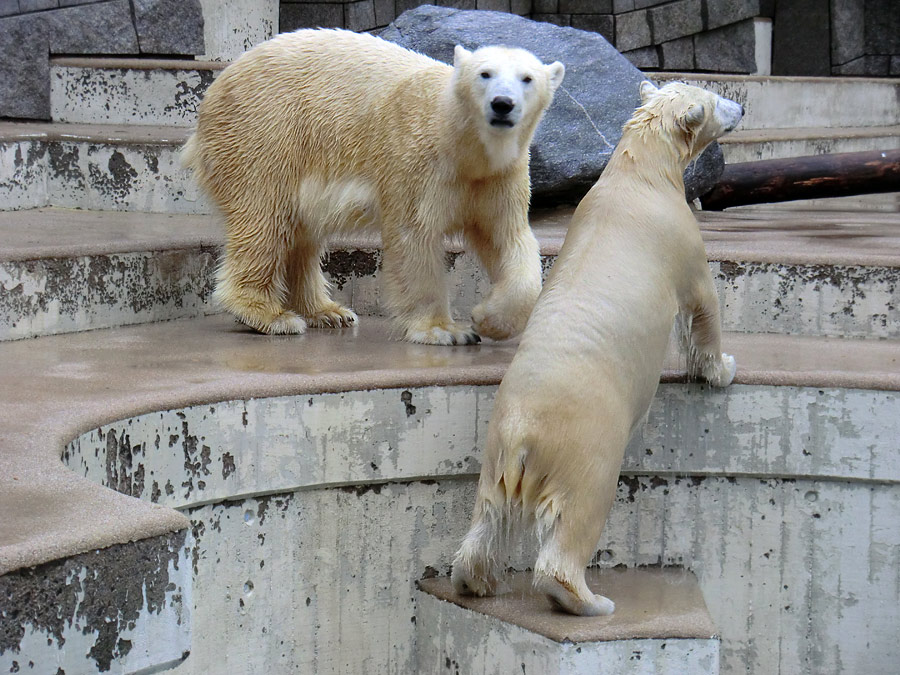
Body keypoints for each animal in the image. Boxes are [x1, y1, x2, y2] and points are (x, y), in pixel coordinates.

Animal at [182, 27, 564, 344]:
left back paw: (326, 311)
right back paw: (270, 315)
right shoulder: (419, 164)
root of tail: (217, 87)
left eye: (527, 78)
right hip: (265, 134)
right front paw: (445, 330)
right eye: (485, 74)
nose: (503, 104)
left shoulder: (499, 177)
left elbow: (508, 238)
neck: (461, 144)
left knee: (301, 233)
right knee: (265, 219)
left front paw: (489, 318)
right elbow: (414, 238)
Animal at [454, 80, 740, 616]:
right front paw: (723, 369)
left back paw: (474, 580)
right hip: (585, 445)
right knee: (580, 512)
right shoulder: (679, 238)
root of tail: (523, 432)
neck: (639, 171)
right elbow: (702, 305)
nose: (742, 106)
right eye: (714, 100)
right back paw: (587, 600)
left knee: (489, 514)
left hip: (496, 452)